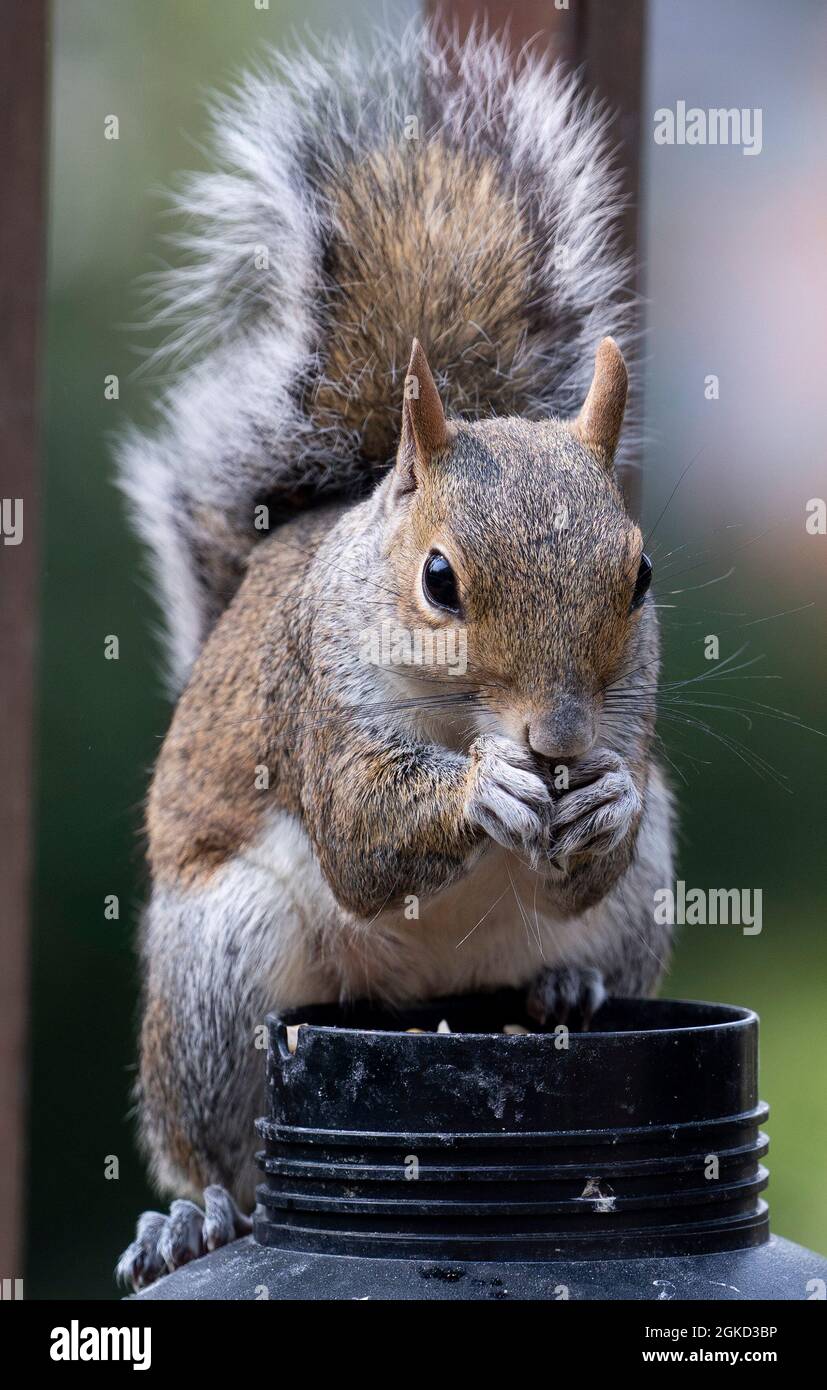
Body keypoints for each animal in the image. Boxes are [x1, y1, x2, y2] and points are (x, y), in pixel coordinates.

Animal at [116, 24, 675, 1289]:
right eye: (438, 581)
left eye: (638, 577)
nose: (558, 741)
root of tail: (419, 997)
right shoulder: (317, 709)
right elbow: (363, 842)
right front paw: (484, 791)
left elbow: (595, 846)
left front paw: (597, 801)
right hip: (219, 967)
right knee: (219, 1146)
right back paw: (194, 1217)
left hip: (642, 910)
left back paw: (567, 980)